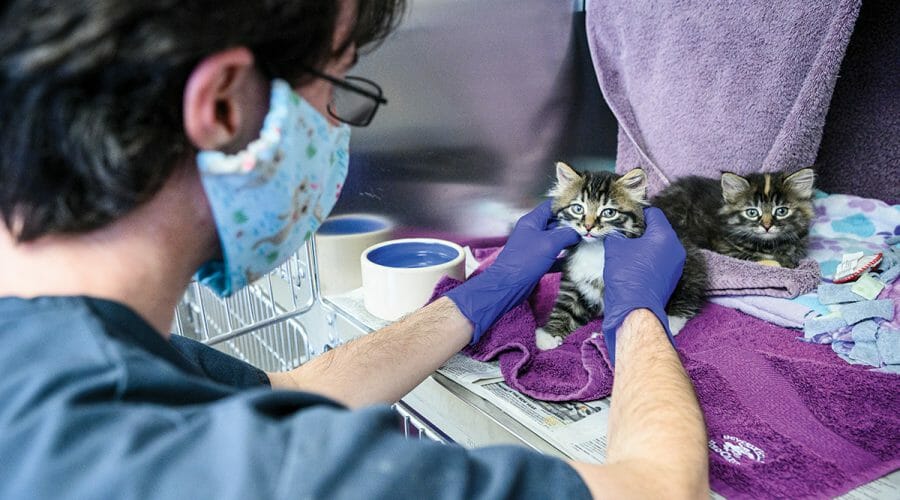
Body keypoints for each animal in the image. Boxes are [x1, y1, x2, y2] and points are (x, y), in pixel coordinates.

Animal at [648, 169, 816, 270]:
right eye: (752, 212)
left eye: (781, 211)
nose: (767, 226)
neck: (769, 245)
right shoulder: (724, 247)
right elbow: (754, 259)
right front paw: (777, 263)